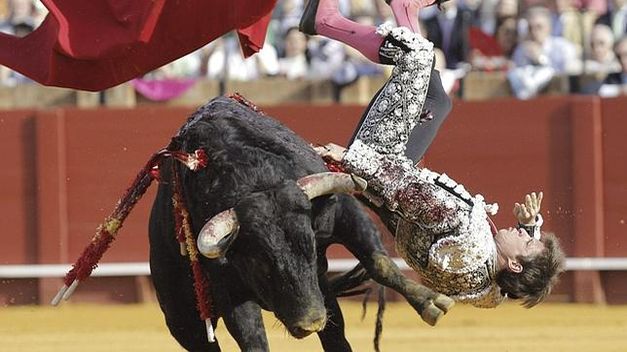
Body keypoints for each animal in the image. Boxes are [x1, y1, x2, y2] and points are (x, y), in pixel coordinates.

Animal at [150, 96, 454, 352]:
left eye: (312, 248)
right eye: (260, 263)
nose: (311, 323)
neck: (257, 181)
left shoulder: (344, 214)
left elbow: (380, 263)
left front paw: (431, 302)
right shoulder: (228, 284)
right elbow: (252, 338)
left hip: (322, 291)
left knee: (336, 333)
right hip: (184, 321)